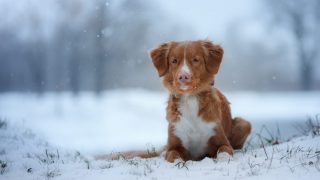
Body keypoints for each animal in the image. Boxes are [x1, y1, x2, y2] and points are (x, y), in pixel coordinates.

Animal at [96, 40, 251, 162]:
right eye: (174, 61)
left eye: (195, 59)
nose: (183, 77)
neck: (189, 99)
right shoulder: (174, 143)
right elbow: (173, 155)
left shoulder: (221, 140)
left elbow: (224, 151)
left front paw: (223, 160)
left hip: (244, 123)